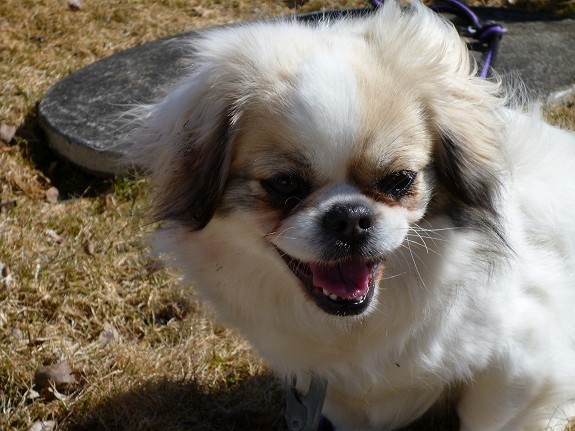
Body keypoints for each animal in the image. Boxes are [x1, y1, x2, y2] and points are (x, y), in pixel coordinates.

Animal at [126, 1, 575, 430]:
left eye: (399, 180)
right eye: (284, 185)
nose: (350, 217)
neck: (356, 329)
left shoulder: (525, 364)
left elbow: (487, 417)